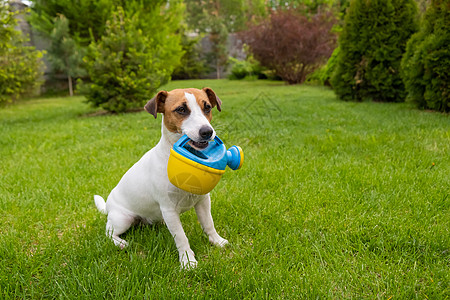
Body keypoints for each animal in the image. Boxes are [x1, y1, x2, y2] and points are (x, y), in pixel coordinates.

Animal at [94, 88, 229, 268]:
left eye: (207, 107)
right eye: (181, 109)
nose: (207, 132)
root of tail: (108, 206)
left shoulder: (203, 201)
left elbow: (209, 223)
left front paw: (217, 241)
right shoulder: (169, 209)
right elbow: (181, 237)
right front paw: (187, 261)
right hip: (123, 219)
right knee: (108, 232)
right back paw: (120, 243)